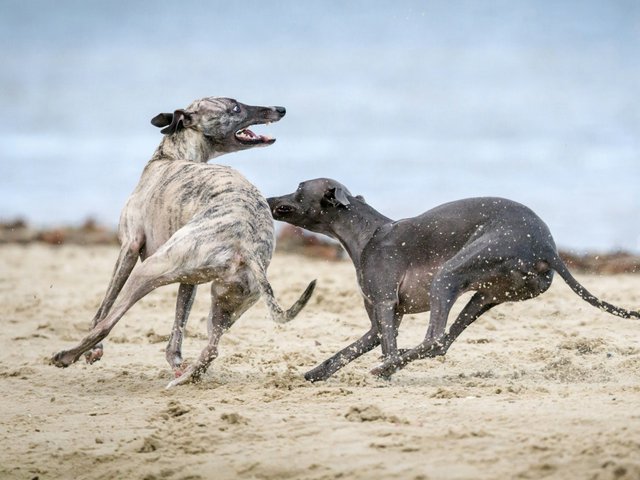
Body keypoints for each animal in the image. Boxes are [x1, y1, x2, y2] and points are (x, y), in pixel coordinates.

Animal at [52, 95, 316, 388]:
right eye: (235, 106)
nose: (280, 109)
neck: (171, 157)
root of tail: (247, 246)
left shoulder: (130, 246)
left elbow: (104, 306)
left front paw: (94, 352)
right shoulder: (190, 280)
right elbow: (179, 325)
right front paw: (176, 363)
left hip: (151, 269)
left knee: (108, 323)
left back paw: (67, 355)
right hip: (225, 301)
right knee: (211, 348)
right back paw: (184, 378)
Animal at [266, 178, 640, 380]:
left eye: (298, 187)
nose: (268, 198)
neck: (368, 233)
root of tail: (547, 246)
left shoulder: (385, 304)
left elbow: (387, 346)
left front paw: (386, 370)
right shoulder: (380, 320)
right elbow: (349, 350)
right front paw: (315, 374)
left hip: (449, 275)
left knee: (434, 339)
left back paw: (387, 368)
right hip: (485, 295)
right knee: (443, 342)